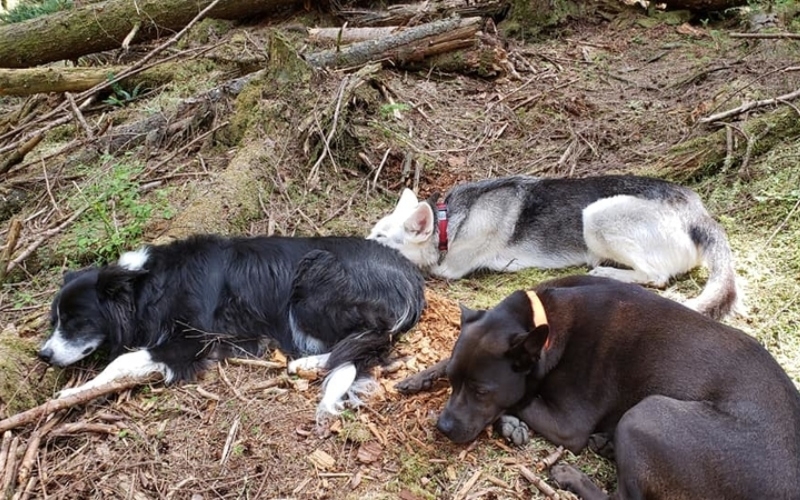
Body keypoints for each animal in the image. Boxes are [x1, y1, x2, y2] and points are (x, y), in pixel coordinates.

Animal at [438, 276, 800, 498]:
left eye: (481, 391)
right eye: (452, 381)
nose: (442, 427)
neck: (544, 321)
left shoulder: (568, 425)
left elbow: (522, 398)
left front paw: (509, 419)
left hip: (647, 413)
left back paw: (572, 476)